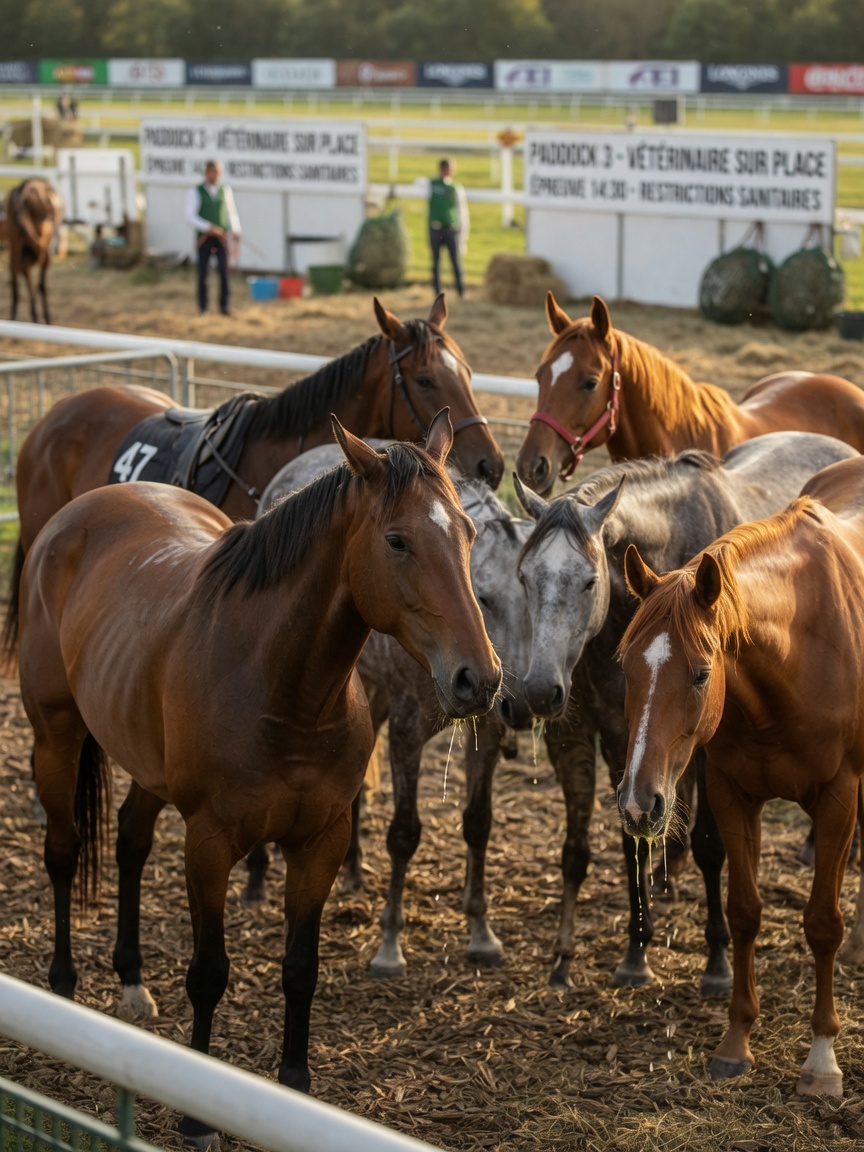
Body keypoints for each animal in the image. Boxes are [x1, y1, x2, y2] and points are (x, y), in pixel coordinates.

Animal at [17, 412, 502, 1145]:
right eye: (397, 540)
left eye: (469, 534)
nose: (481, 677)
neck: (283, 685)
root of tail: (80, 511)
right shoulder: (210, 844)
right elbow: (209, 973)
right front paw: (196, 1116)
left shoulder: (321, 843)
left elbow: (300, 969)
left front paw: (295, 1090)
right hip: (56, 734)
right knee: (64, 851)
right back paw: (64, 982)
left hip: (145, 762)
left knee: (129, 843)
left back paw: (131, 981)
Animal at [247, 444, 533, 976]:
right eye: (397, 541)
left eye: (469, 535)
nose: (486, 681)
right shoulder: (405, 730)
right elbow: (403, 832)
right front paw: (389, 944)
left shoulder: (482, 730)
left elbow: (478, 823)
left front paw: (481, 933)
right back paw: (256, 878)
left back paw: (353, 870)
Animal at [513, 431, 859, 992]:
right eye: (524, 577)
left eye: (589, 582)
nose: (542, 690)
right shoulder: (622, 738)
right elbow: (631, 837)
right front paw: (636, 951)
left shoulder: (706, 753)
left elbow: (710, 844)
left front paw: (717, 959)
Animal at [618, 453, 864, 1098]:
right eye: (624, 666)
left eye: (702, 673)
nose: (638, 804)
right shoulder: (732, 794)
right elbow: (744, 912)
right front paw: (735, 1042)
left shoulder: (838, 799)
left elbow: (822, 922)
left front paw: (822, 1058)